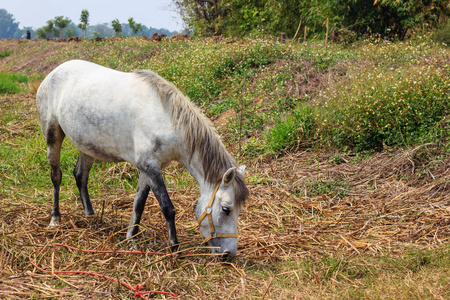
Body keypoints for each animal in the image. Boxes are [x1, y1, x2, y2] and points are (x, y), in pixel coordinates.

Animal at [37, 59, 250, 256]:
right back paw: (55, 219)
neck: (167, 120)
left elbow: (139, 203)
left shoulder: (148, 168)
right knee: (56, 177)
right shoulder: (150, 167)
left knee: (81, 176)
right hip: (52, 137)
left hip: (87, 147)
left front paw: (132, 239)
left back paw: (91, 217)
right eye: (226, 209)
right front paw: (174, 248)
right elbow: (167, 208)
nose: (228, 254)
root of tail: (53, 73)